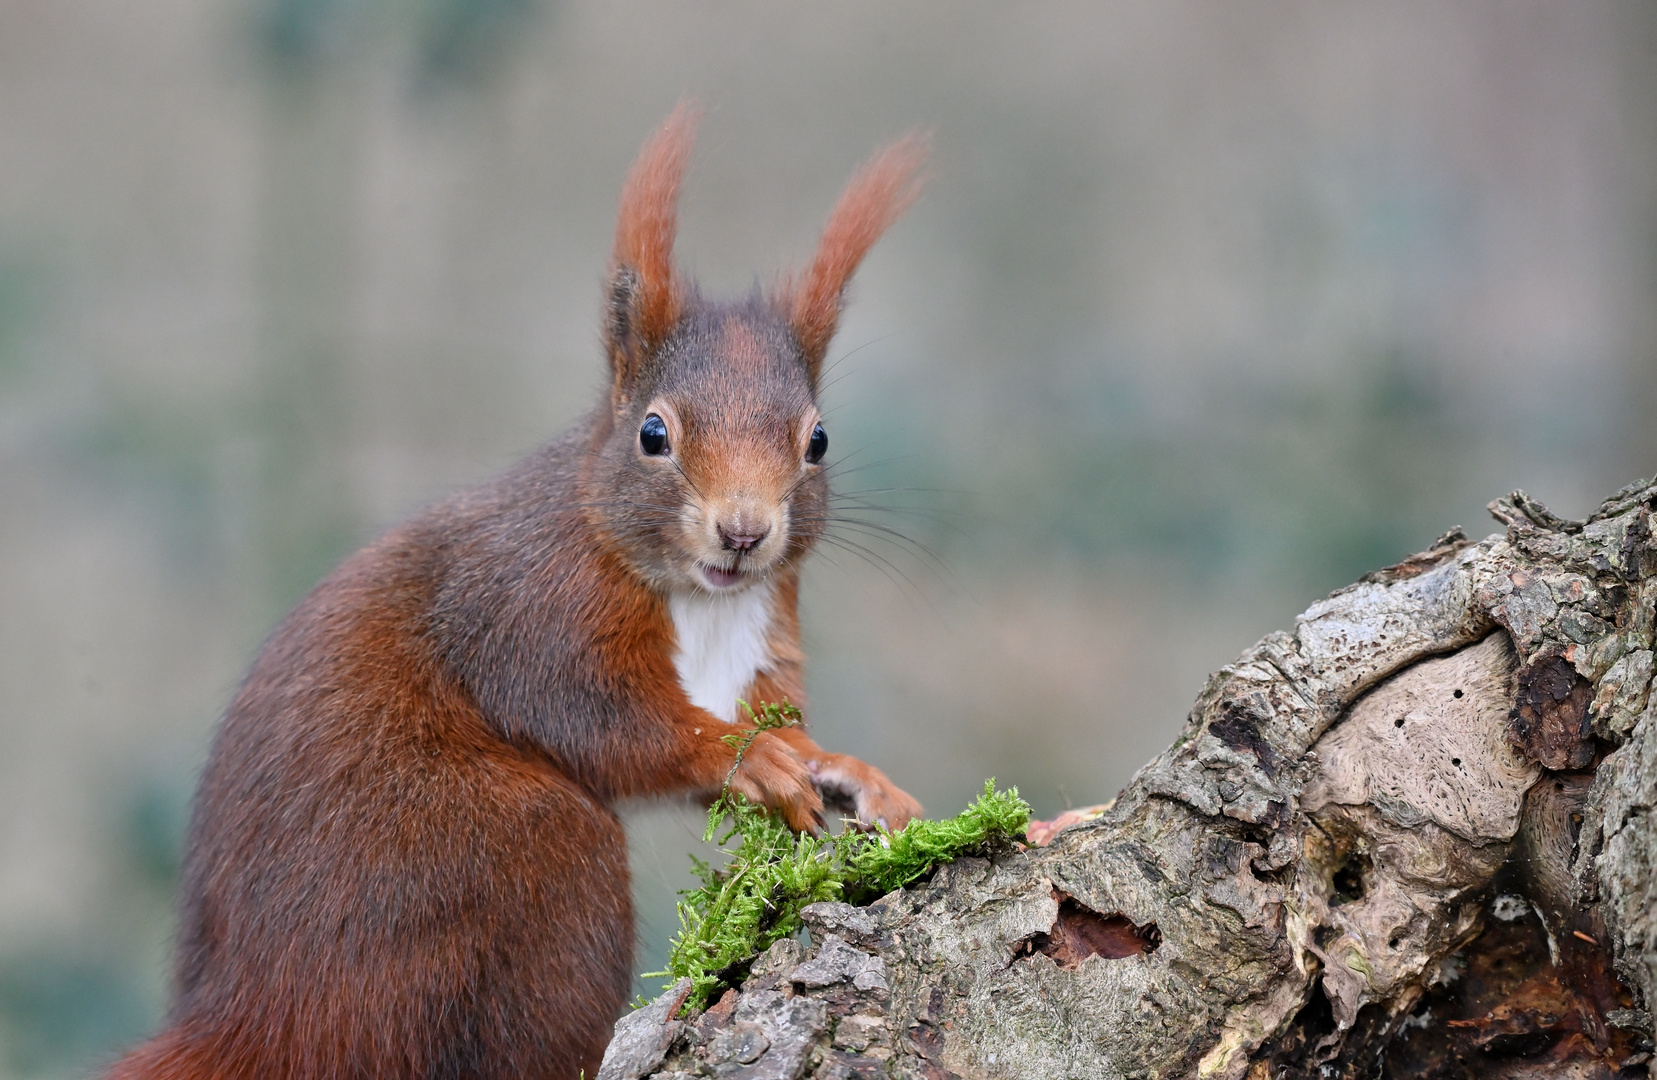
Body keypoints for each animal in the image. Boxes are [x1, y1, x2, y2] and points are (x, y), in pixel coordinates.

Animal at [110, 107, 927, 1080]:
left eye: (818, 441)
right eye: (653, 433)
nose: (742, 532)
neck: (703, 600)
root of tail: (268, 1014)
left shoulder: (761, 639)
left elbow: (774, 723)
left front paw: (844, 770)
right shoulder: (530, 606)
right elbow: (602, 717)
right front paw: (745, 757)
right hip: (499, 862)